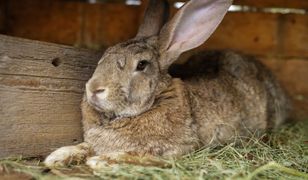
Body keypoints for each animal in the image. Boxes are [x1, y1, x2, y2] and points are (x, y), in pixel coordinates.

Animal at [44, 0, 290, 169]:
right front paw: (56, 157)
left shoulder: (173, 150)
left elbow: (140, 156)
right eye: (104, 55)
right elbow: (84, 146)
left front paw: (103, 161)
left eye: (141, 65)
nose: (94, 89)